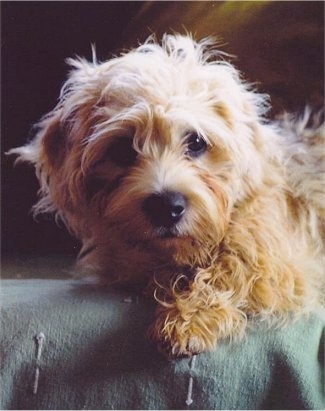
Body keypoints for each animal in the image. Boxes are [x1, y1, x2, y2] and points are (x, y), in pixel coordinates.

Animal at [10, 34, 324, 358]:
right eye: (121, 149)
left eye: (196, 142)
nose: (166, 207)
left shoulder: (284, 266)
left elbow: (232, 269)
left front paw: (189, 321)